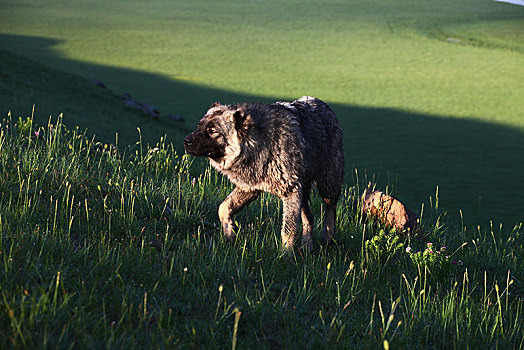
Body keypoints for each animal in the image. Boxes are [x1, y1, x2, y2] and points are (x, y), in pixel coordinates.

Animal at [184, 95, 344, 249]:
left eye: (212, 131)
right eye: (199, 126)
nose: (186, 141)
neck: (258, 142)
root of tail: (324, 105)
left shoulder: (291, 191)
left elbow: (288, 230)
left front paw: (284, 255)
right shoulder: (249, 187)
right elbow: (223, 208)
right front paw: (230, 232)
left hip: (328, 182)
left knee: (330, 209)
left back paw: (328, 237)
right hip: (303, 191)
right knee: (309, 218)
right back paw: (306, 247)